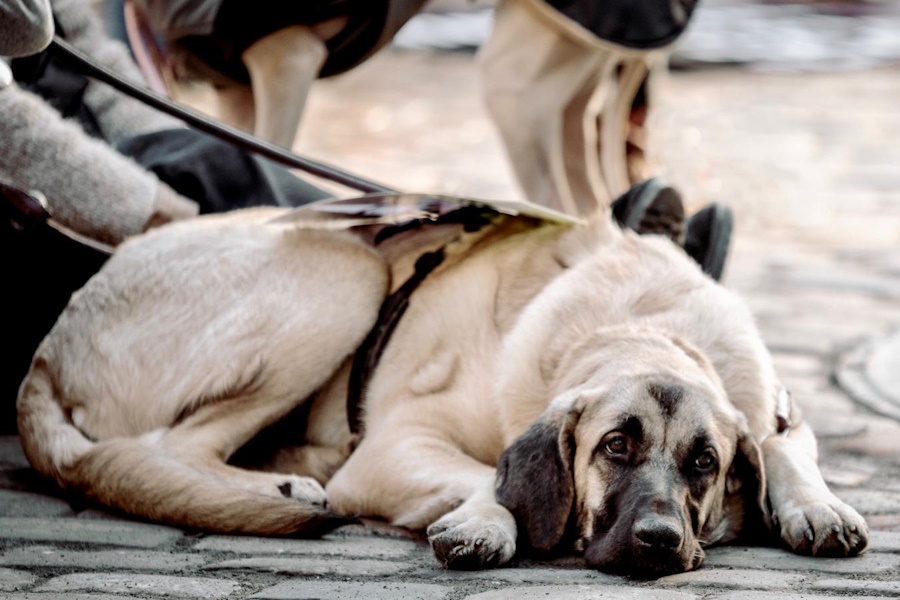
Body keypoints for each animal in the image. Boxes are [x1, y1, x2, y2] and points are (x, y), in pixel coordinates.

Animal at [17, 197, 868, 576]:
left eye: (703, 464)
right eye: (615, 448)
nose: (659, 539)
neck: (643, 325)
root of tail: (47, 349)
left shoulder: (775, 415)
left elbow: (785, 450)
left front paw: (819, 507)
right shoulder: (399, 442)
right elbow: (483, 473)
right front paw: (487, 521)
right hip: (346, 270)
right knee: (165, 445)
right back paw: (283, 487)